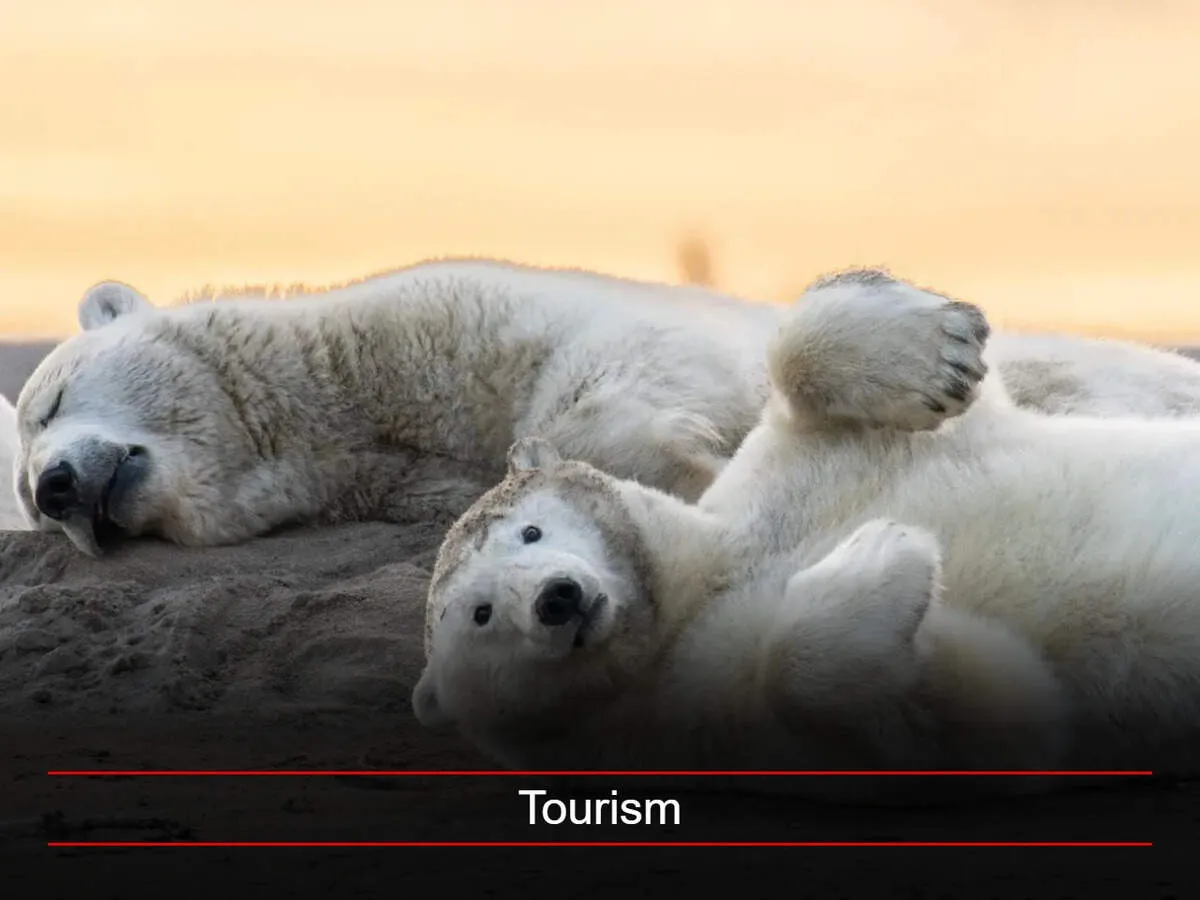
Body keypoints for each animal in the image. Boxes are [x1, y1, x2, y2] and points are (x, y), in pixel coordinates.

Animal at [15, 256, 1200, 559]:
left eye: (51, 398)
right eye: (31, 506)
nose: (62, 486)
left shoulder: (471, 313)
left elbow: (628, 372)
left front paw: (934, 350)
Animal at [413, 270, 1200, 805]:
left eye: (529, 530)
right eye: (480, 614)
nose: (555, 599)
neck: (700, 583)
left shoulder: (789, 476)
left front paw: (944, 349)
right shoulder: (712, 724)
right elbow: (982, 714)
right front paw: (879, 555)